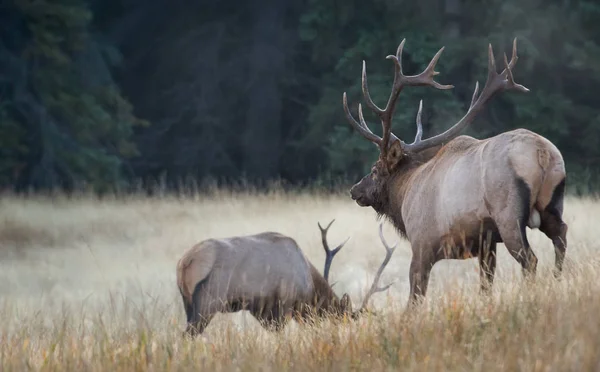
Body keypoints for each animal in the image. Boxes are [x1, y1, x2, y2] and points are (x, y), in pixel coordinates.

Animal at [176, 219, 396, 336]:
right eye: (341, 319)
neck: (308, 286)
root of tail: (185, 263)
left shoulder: (261, 310)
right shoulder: (284, 303)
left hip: (188, 303)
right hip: (208, 301)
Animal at [342, 37, 568, 308]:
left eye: (375, 170)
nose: (355, 190)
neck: (405, 193)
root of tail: (542, 153)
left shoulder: (422, 244)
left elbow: (415, 298)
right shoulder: (486, 245)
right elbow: (485, 286)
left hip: (508, 215)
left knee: (531, 260)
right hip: (551, 205)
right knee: (561, 237)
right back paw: (556, 284)